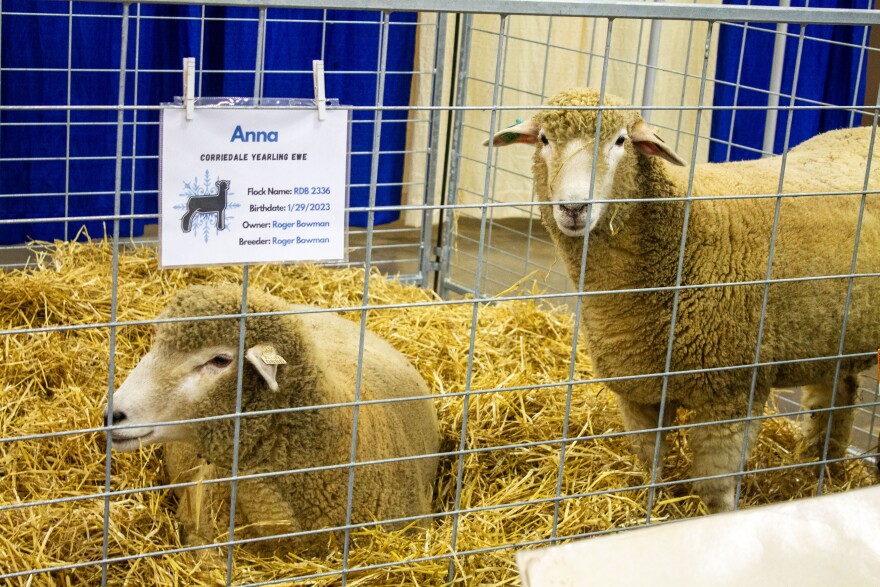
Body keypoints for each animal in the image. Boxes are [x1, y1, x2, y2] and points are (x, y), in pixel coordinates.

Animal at [486, 87, 880, 512]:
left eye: (620, 141)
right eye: (544, 140)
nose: (574, 208)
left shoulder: (730, 394)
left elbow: (714, 491)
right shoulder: (638, 391)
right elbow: (650, 466)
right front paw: (649, 504)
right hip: (833, 335)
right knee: (839, 393)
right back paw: (822, 465)